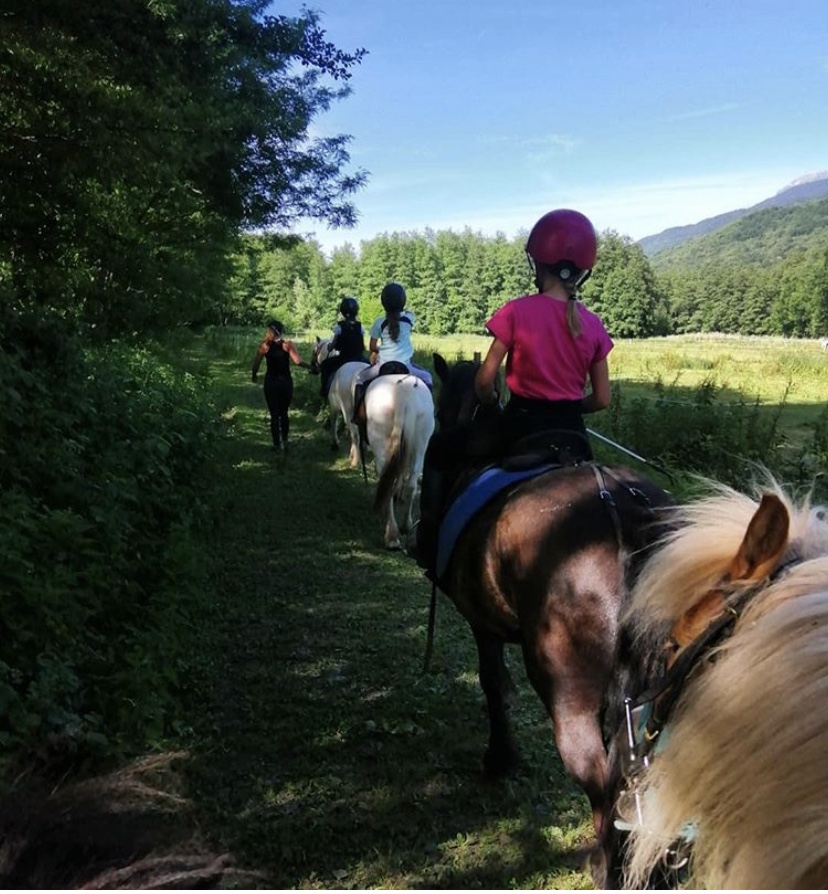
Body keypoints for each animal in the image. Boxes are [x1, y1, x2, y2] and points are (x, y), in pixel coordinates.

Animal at [366, 372, 436, 552]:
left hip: (379, 440)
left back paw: (391, 536)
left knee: (386, 482)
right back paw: (404, 526)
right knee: (411, 483)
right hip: (421, 443)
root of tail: (402, 395)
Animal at [426, 356, 672, 880]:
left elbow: (493, 683)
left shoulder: (483, 625)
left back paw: (606, 866)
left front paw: (499, 758)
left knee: (599, 779)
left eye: (438, 409)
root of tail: (621, 517)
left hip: (567, 693)